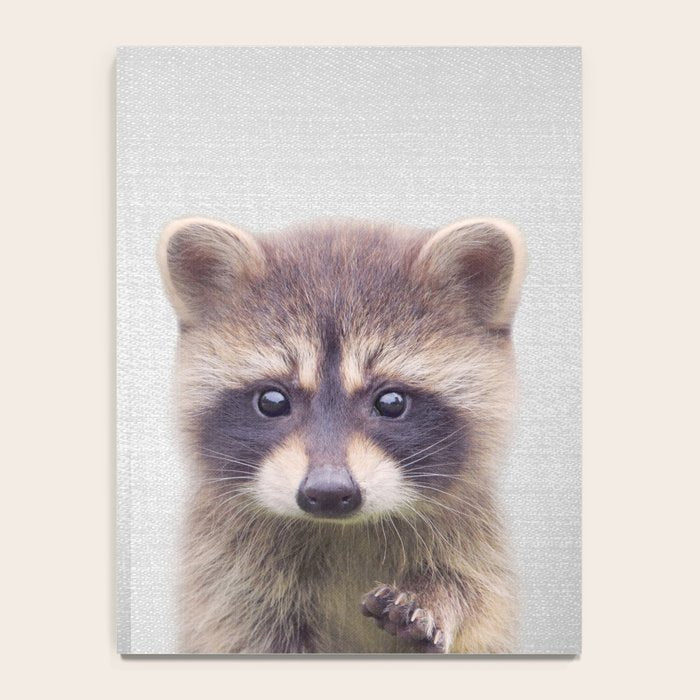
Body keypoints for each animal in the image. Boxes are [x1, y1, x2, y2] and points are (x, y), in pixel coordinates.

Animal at [158, 215, 526, 654]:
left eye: (391, 403)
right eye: (272, 401)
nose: (329, 492)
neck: (343, 529)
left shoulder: (475, 537)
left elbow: (475, 594)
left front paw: (437, 597)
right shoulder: (226, 572)